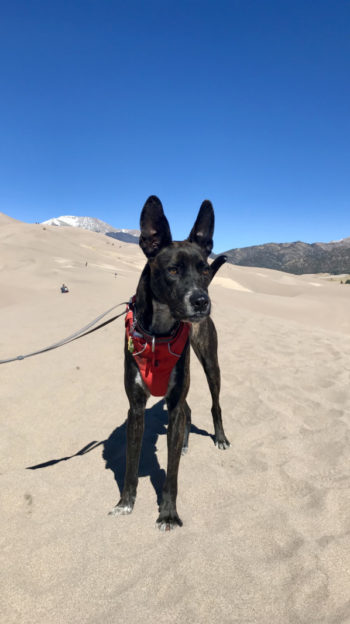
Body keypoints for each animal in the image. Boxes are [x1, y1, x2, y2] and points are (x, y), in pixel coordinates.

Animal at [109, 197, 230, 528]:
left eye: (204, 269)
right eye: (173, 270)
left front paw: (168, 513)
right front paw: (126, 502)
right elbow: (131, 464)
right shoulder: (136, 408)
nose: (201, 301)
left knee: (214, 403)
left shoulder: (173, 400)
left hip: (209, 363)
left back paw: (220, 438)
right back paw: (186, 442)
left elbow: (172, 474)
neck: (157, 333)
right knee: (187, 410)